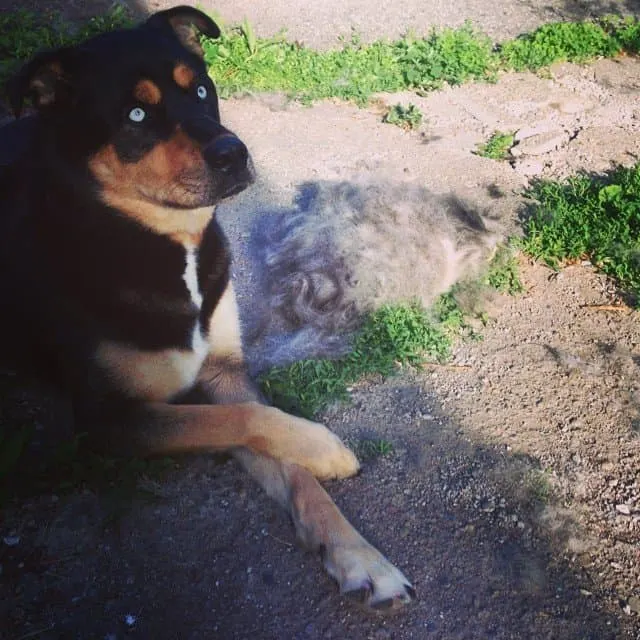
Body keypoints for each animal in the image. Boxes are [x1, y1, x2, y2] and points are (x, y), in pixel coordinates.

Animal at [0, 7, 416, 612]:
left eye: (200, 88)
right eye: (136, 114)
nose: (234, 153)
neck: (166, 243)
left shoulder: (224, 373)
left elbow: (282, 456)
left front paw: (359, 555)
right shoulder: (108, 423)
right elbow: (247, 419)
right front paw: (326, 447)